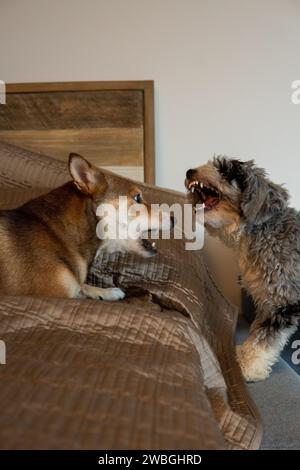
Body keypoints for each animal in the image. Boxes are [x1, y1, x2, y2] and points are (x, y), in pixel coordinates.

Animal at [0, 154, 173, 302]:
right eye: (137, 197)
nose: (174, 218)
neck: (57, 234)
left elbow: (82, 287)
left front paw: (107, 292)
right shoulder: (57, 293)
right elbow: (79, 289)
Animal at [184, 157, 298, 382]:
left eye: (226, 170)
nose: (189, 171)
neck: (264, 231)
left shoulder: (283, 302)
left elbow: (265, 339)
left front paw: (249, 368)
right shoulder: (266, 301)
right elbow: (256, 332)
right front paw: (243, 354)